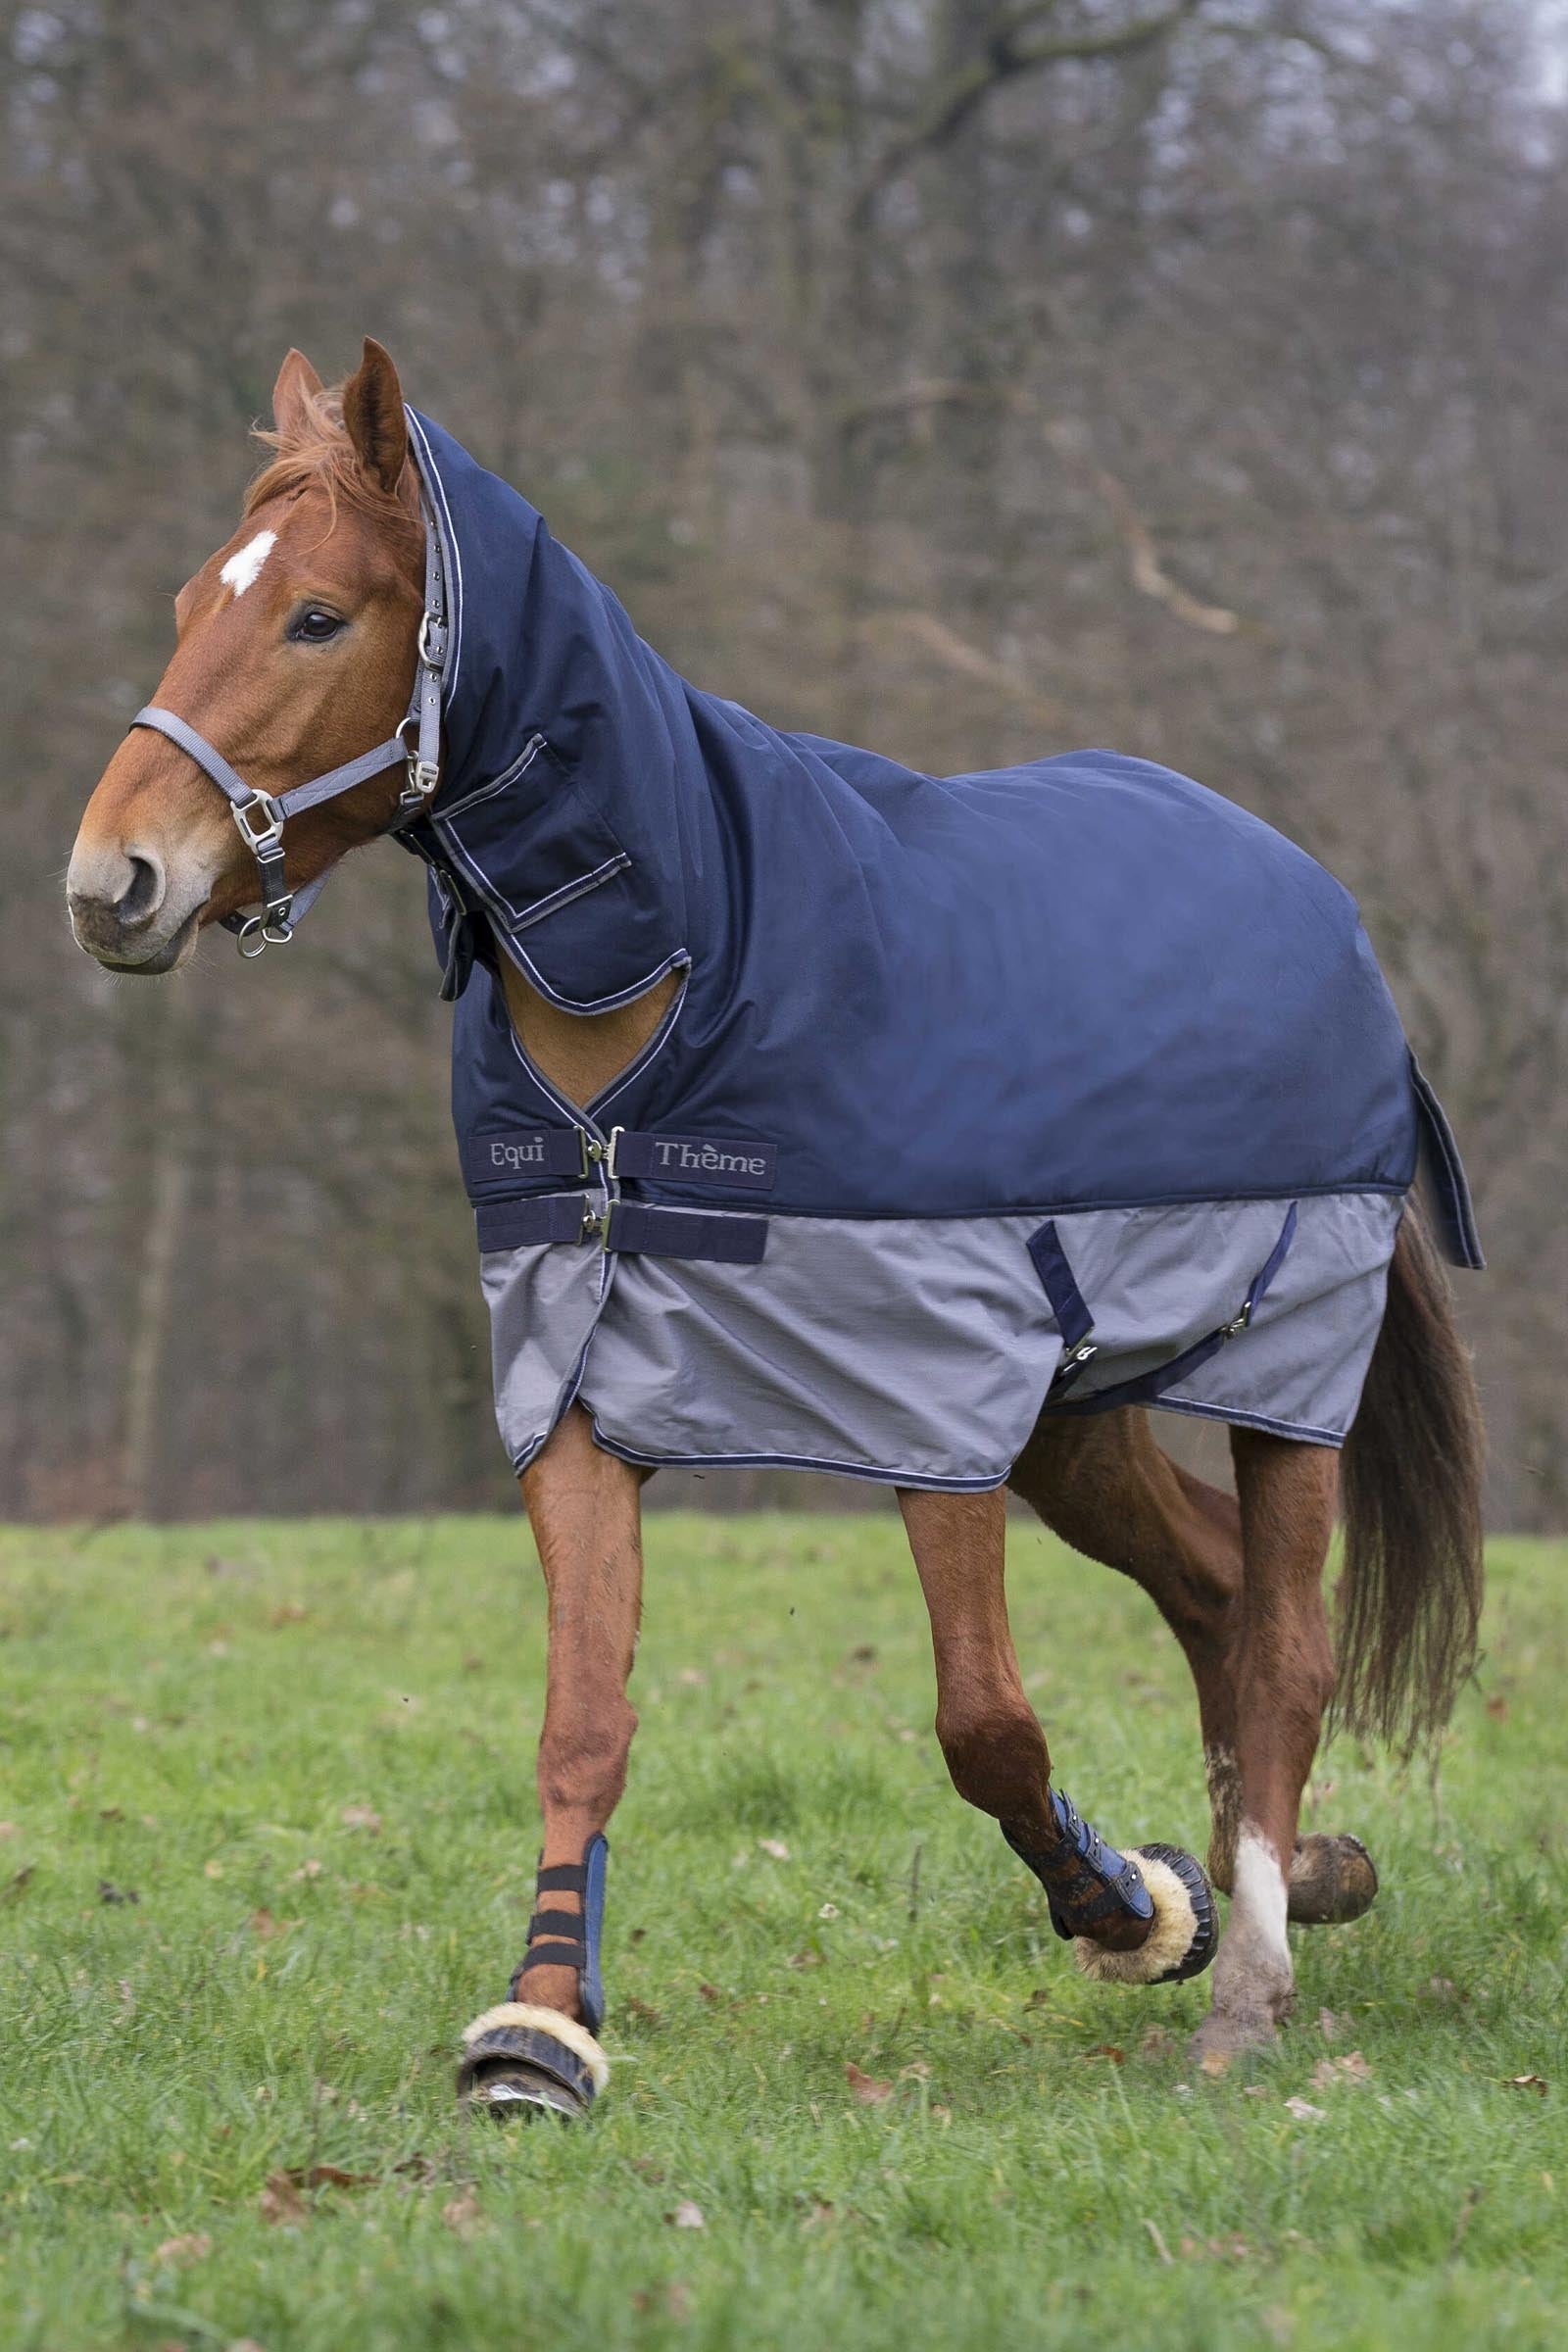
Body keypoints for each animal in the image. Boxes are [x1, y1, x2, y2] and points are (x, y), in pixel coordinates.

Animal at [67, 339, 1485, 2119]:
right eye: (199, 597)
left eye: (317, 615)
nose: (110, 884)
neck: (694, 975)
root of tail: (1326, 907)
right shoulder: (575, 1386)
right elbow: (582, 1720)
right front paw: (539, 2029)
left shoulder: (933, 1403)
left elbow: (984, 1724)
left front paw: (1128, 1909)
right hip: (1075, 1422)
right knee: (1220, 1596)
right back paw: (1288, 1879)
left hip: (1284, 1376)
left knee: (1289, 1641)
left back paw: (1247, 1978)